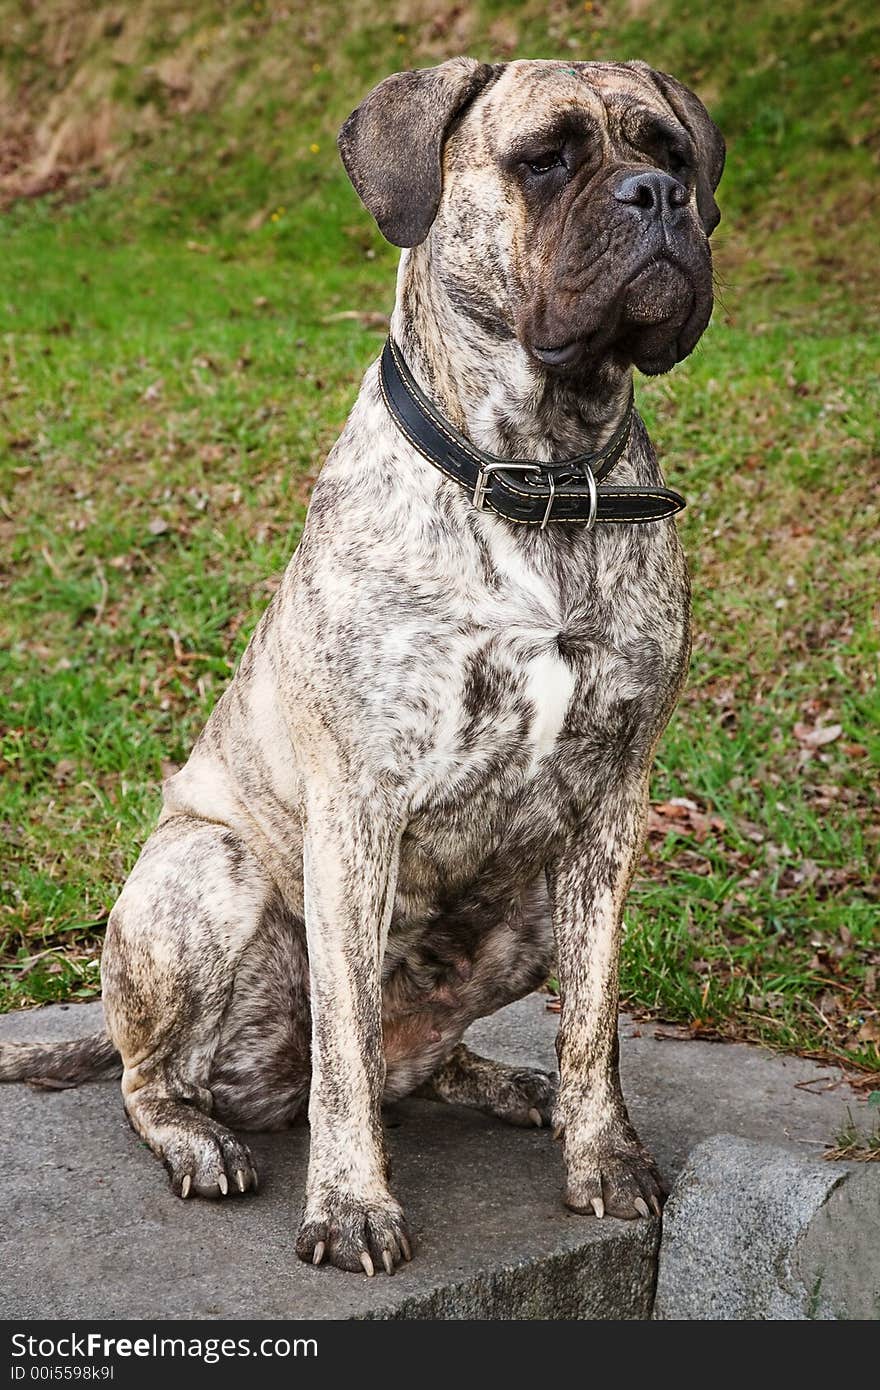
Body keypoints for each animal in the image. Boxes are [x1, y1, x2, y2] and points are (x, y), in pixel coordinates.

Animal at [1, 59, 722, 1273]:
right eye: (546, 160)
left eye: (672, 155)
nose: (657, 198)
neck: (540, 476)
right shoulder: (359, 807)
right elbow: (345, 1042)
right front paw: (350, 1206)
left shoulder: (612, 808)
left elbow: (597, 1021)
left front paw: (603, 1157)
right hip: (207, 875)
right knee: (171, 1080)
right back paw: (198, 1137)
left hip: (530, 902)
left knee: (416, 1064)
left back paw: (506, 1083)